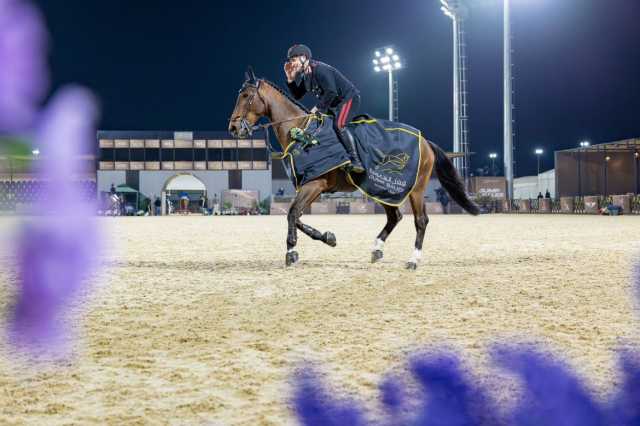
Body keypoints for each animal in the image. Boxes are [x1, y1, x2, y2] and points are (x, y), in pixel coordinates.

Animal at [228, 68, 478, 270]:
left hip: (414, 189)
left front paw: (291, 252)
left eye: (246, 96)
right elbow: (296, 216)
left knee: (421, 221)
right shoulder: (312, 186)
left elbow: (291, 214)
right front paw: (328, 237)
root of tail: (425, 141)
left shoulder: (315, 184)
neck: (301, 131)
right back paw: (377, 249)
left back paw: (413, 260)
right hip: (381, 188)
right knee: (395, 217)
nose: (233, 128)